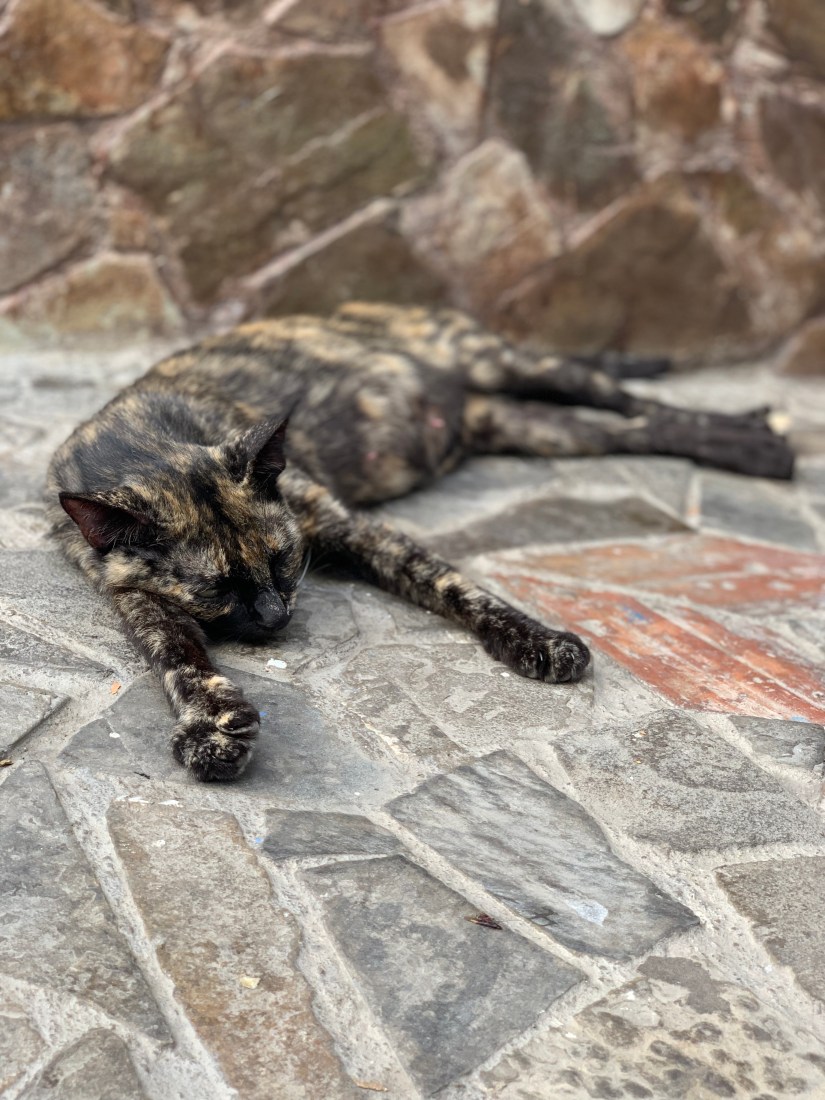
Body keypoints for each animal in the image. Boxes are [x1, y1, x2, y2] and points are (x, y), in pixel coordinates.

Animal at [48, 302, 794, 781]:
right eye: (218, 588)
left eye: (285, 558)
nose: (276, 616)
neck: (141, 440)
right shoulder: (132, 596)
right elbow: (176, 658)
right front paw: (212, 724)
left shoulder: (346, 525)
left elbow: (450, 583)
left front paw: (538, 641)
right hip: (532, 426)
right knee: (631, 430)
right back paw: (752, 441)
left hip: (512, 365)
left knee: (638, 406)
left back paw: (758, 439)